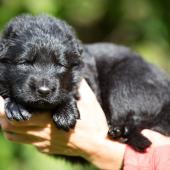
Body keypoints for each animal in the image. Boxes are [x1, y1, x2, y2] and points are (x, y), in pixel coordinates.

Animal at [0, 14, 170, 151]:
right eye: (25, 62)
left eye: (60, 65)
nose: (44, 91)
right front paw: (16, 106)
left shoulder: (86, 74)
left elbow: (71, 90)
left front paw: (65, 112)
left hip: (125, 81)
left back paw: (121, 131)